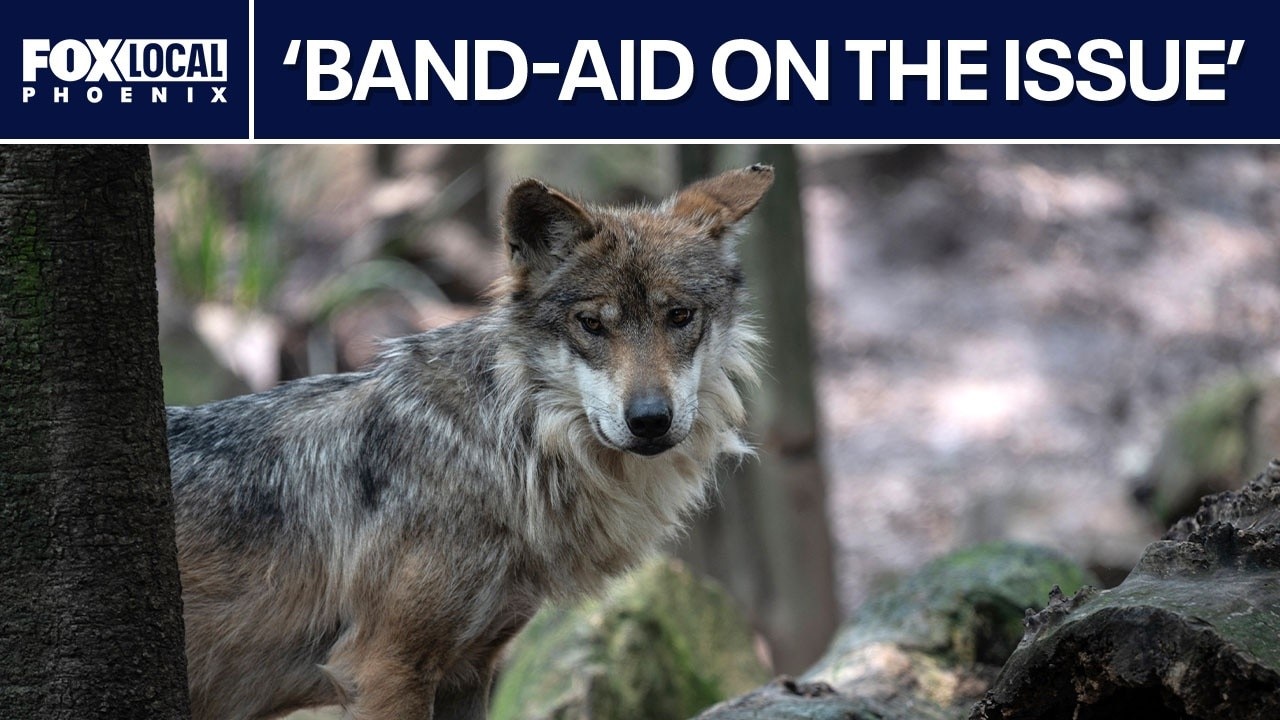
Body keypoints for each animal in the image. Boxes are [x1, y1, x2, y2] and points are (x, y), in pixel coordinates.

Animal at [167, 164, 774, 720]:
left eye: (680, 316)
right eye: (591, 324)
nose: (650, 419)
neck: (502, 447)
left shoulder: (470, 669)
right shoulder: (385, 668)